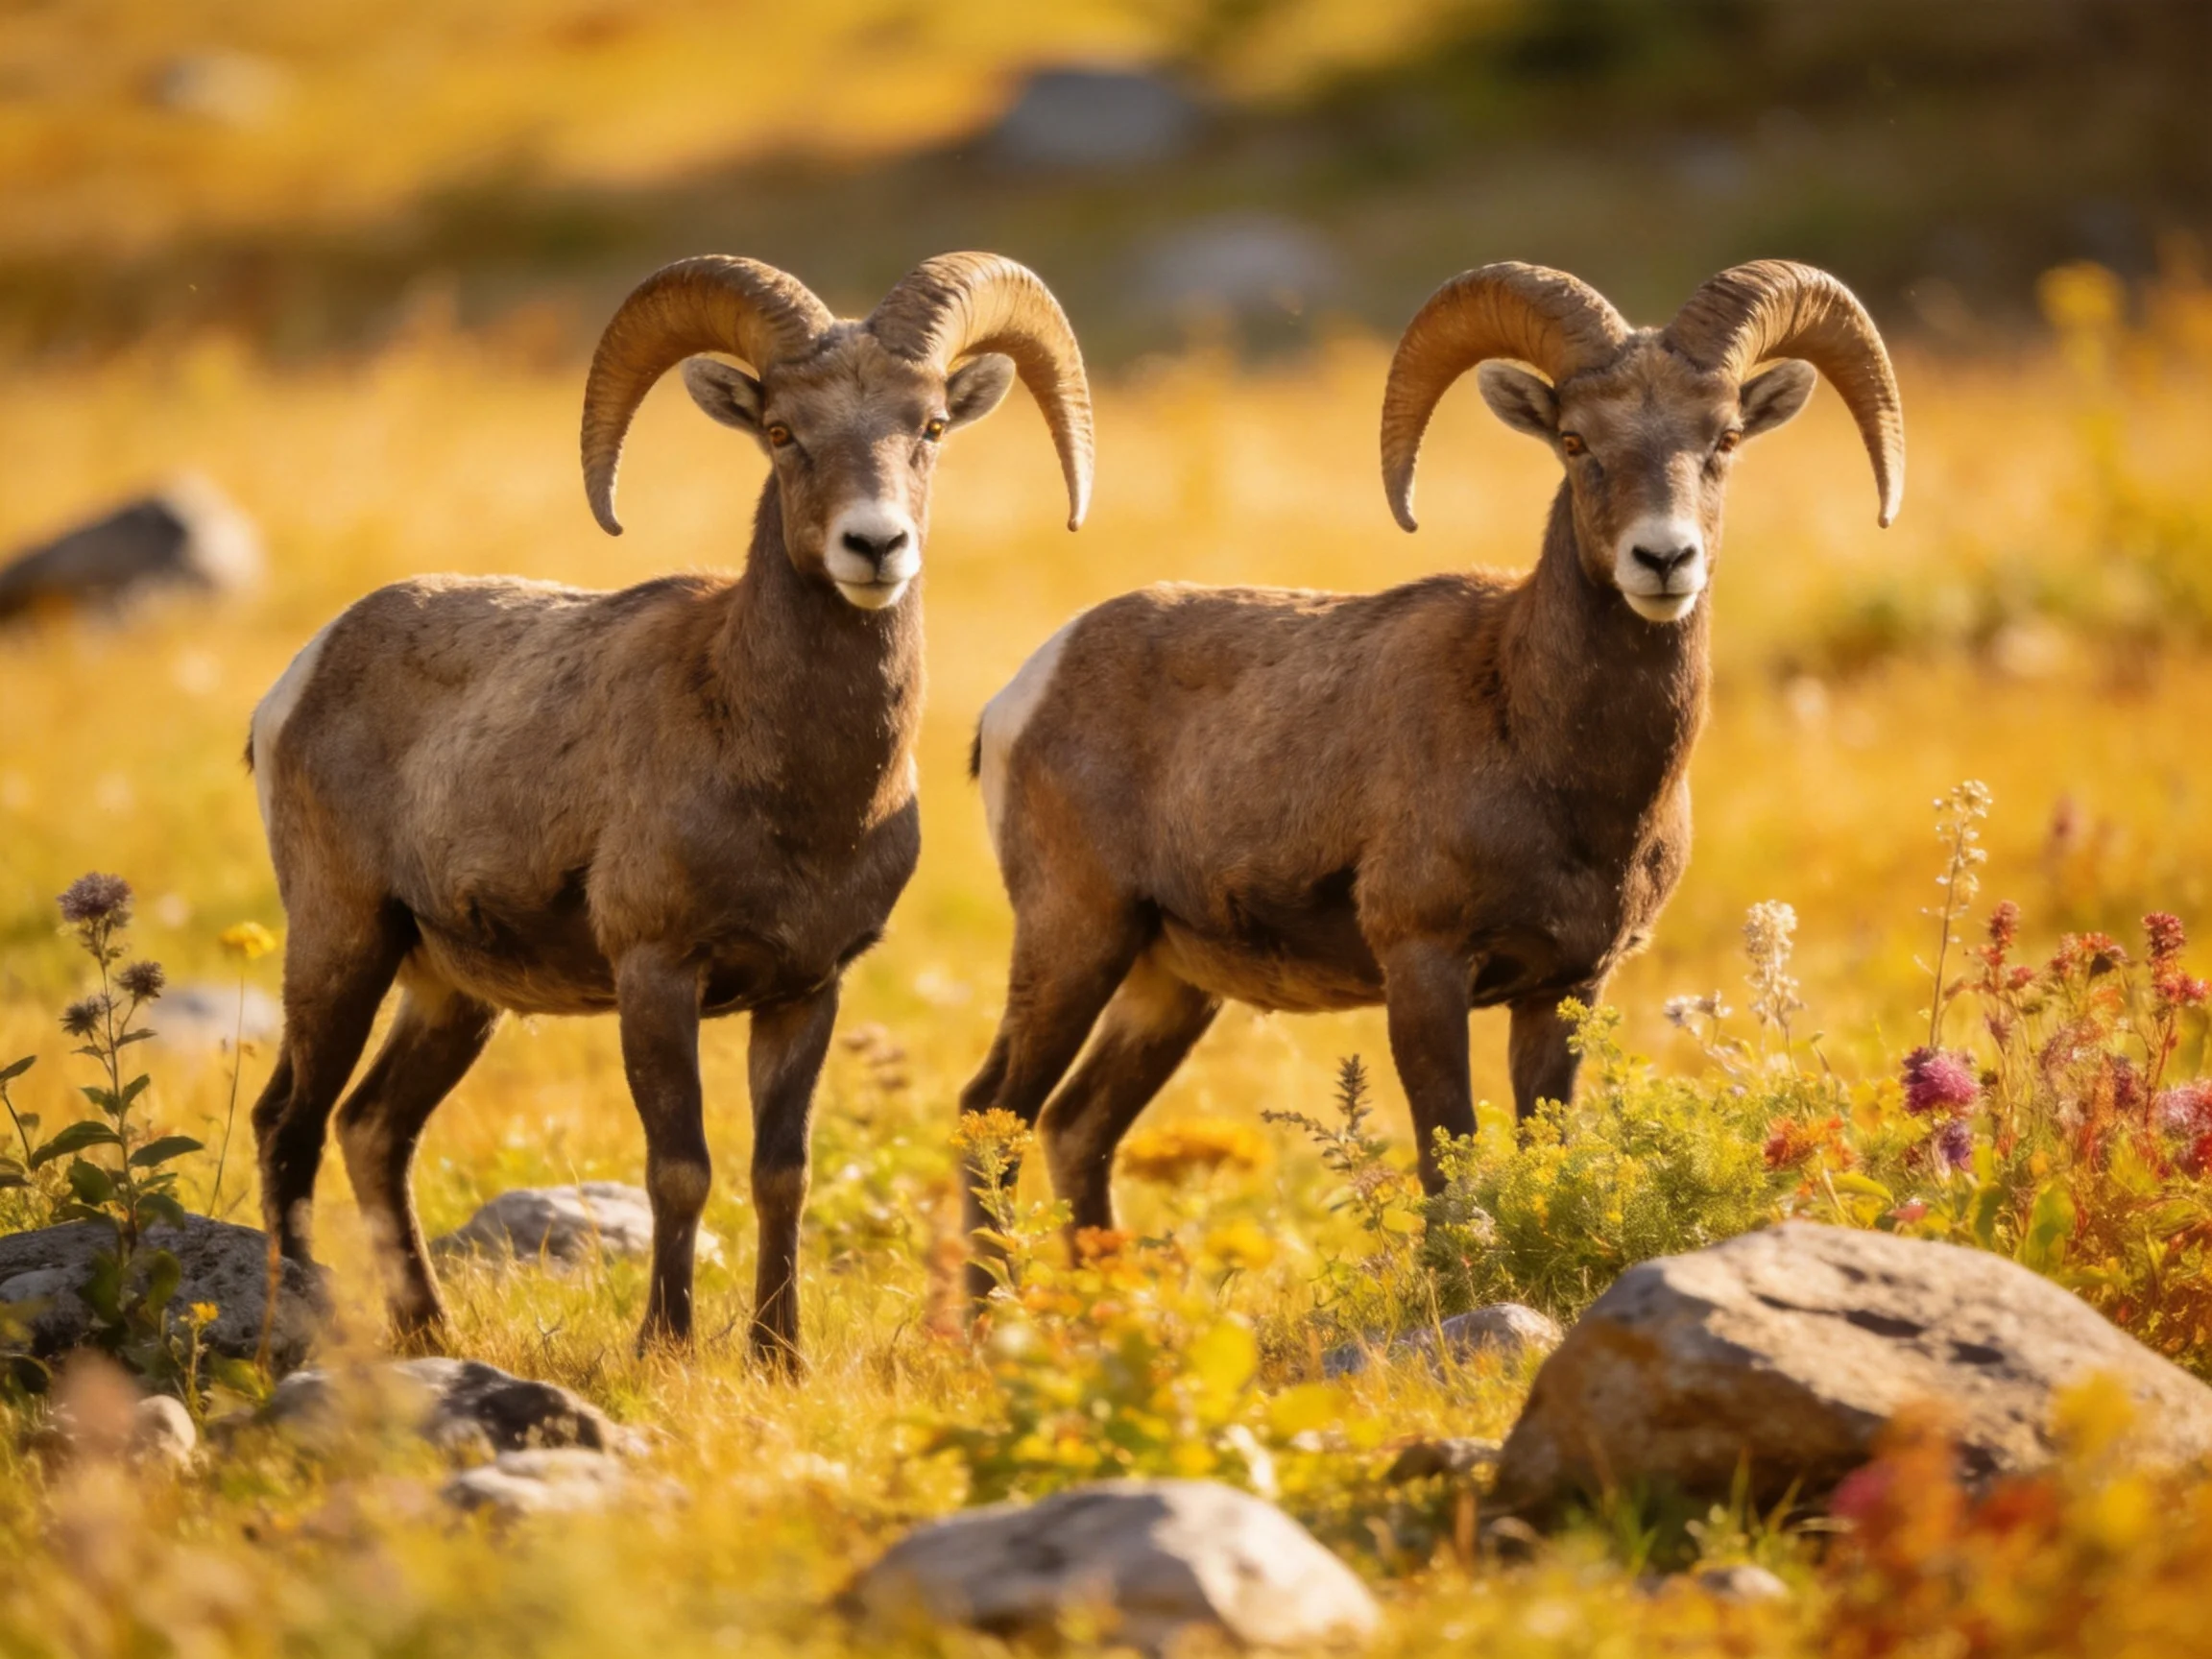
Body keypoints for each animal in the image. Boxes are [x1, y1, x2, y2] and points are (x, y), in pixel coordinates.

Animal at [246, 252, 1093, 1363]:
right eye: (781, 431)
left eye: (933, 426)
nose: (874, 546)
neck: (786, 781)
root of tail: (299, 677)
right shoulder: (656, 973)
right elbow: (679, 1167)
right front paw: (666, 1346)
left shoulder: (804, 993)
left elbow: (783, 1174)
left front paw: (779, 1357)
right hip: (343, 945)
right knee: (289, 1125)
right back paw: (303, 1327)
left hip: (452, 995)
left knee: (374, 1129)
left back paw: (430, 1333)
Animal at [957, 259, 1901, 1276]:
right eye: (1576, 440)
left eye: (1723, 438)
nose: (1663, 559)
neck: (1548, 755)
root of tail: (1022, 692)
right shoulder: (1423, 966)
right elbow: (1450, 1163)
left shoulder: (1565, 990)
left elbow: (1538, 1144)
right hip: (1076, 941)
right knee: (993, 1112)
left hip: (1166, 986)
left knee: (1076, 1128)